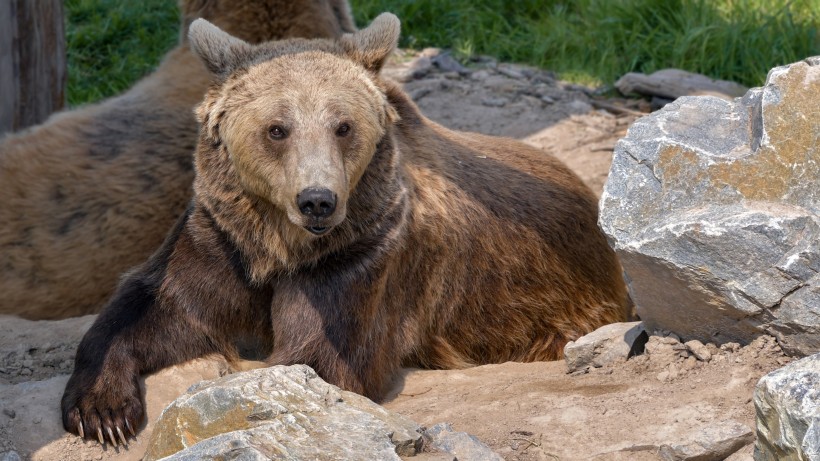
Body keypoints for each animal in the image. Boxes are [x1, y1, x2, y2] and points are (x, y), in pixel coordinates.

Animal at [62, 13, 628, 446]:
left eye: (343, 126)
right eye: (277, 128)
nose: (318, 200)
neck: (279, 247)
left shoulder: (362, 256)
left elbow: (317, 359)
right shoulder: (222, 239)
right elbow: (161, 304)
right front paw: (101, 411)